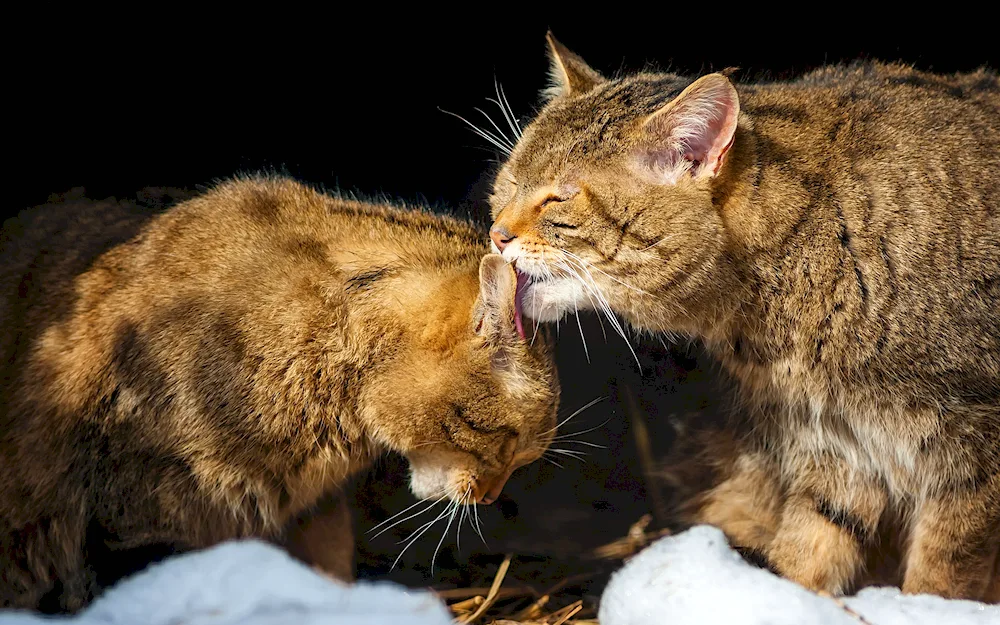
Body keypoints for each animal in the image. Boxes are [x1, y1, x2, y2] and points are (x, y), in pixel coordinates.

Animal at [488, 34, 996, 600]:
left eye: (560, 197)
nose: (497, 234)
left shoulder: (973, 455)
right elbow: (808, 550)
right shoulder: (838, 449)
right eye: (509, 181)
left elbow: (942, 576)